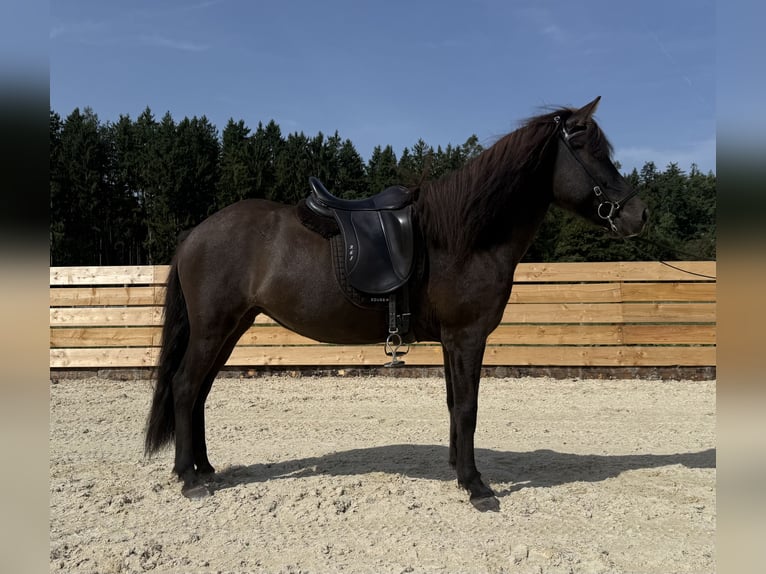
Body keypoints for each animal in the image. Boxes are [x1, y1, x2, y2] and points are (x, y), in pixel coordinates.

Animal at [145, 97, 648, 508]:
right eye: (593, 153)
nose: (638, 214)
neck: (464, 236)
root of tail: (195, 234)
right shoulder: (467, 337)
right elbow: (468, 408)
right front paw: (476, 486)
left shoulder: (452, 341)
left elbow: (453, 403)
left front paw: (457, 469)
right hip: (213, 328)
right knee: (186, 387)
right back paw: (190, 479)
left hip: (230, 329)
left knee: (199, 392)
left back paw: (205, 469)